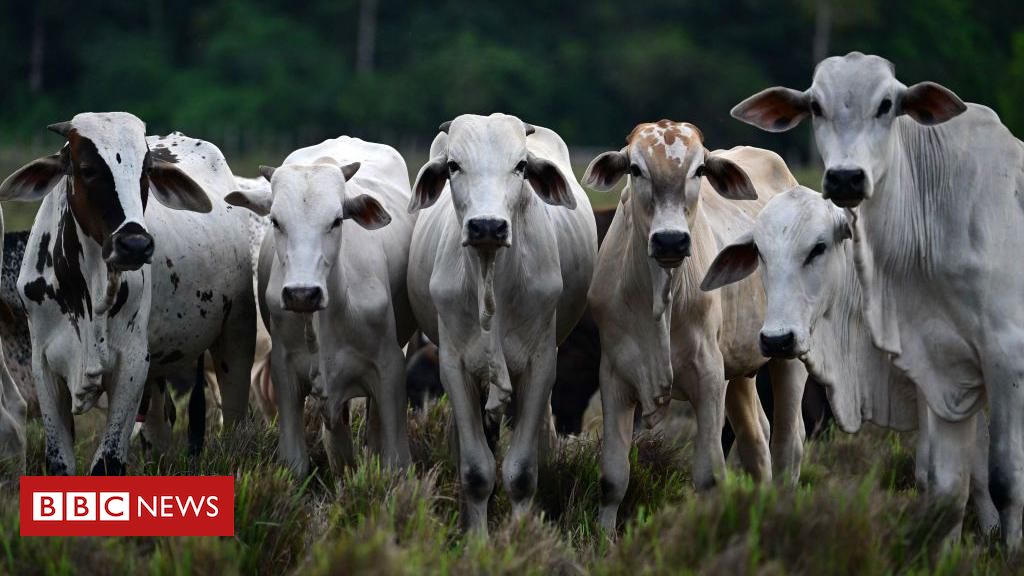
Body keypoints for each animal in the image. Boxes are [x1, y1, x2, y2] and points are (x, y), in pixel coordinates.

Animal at [0, 113, 254, 475]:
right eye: (87, 169)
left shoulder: (132, 365)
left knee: (234, 419)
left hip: (236, 337)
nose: (134, 244)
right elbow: (60, 462)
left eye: (145, 171)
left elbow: (108, 463)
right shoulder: (44, 366)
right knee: (159, 429)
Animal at [226, 134, 413, 475]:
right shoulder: (284, 370)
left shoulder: (390, 367)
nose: (302, 294)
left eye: (337, 220)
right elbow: (296, 461)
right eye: (276, 221)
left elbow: (395, 461)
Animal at [407, 114, 598, 532]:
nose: (487, 227)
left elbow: (522, 472)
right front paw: (476, 538)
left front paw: (521, 535)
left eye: (521, 166)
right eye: (453, 165)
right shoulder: (453, 367)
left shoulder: (541, 365)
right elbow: (477, 471)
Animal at [585, 119, 806, 528]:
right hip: (738, 371)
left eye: (699, 170)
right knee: (757, 442)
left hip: (789, 356)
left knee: (788, 445)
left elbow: (709, 476)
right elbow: (613, 478)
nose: (670, 241)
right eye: (635, 169)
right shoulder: (615, 376)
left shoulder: (708, 376)